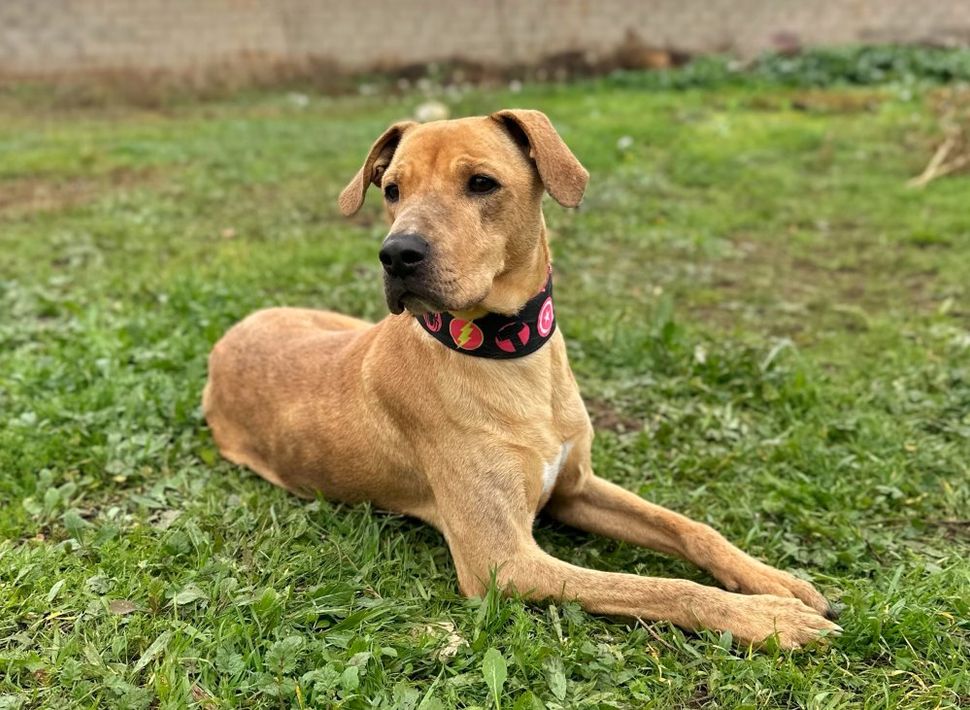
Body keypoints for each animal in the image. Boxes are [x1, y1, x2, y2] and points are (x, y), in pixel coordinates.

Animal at [202, 109, 841, 648]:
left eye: (482, 183)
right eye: (392, 190)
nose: (396, 254)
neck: (508, 358)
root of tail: (227, 339)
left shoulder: (576, 487)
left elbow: (690, 527)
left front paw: (773, 580)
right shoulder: (505, 560)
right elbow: (658, 587)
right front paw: (767, 617)